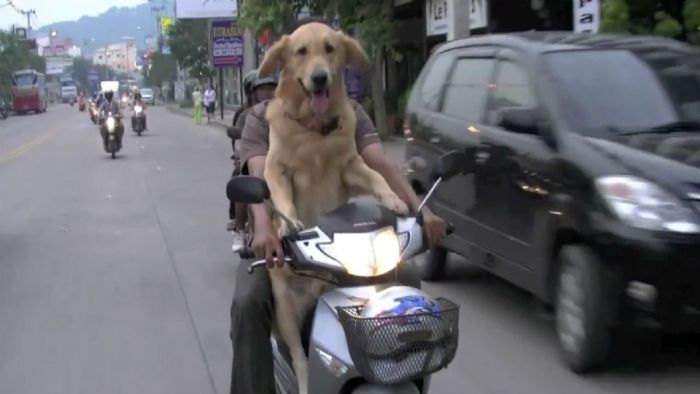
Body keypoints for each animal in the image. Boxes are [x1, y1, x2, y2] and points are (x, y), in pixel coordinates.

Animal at [258, 23, 408, 392]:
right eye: (301, 52)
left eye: (330, 49)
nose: (320, 78)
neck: (314, 132)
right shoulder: (276, 169)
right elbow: (281, 198)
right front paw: (288, 223)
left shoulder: (350, 166)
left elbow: (376, 177)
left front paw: (395, 199)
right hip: (285, 309)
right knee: (299, 357)